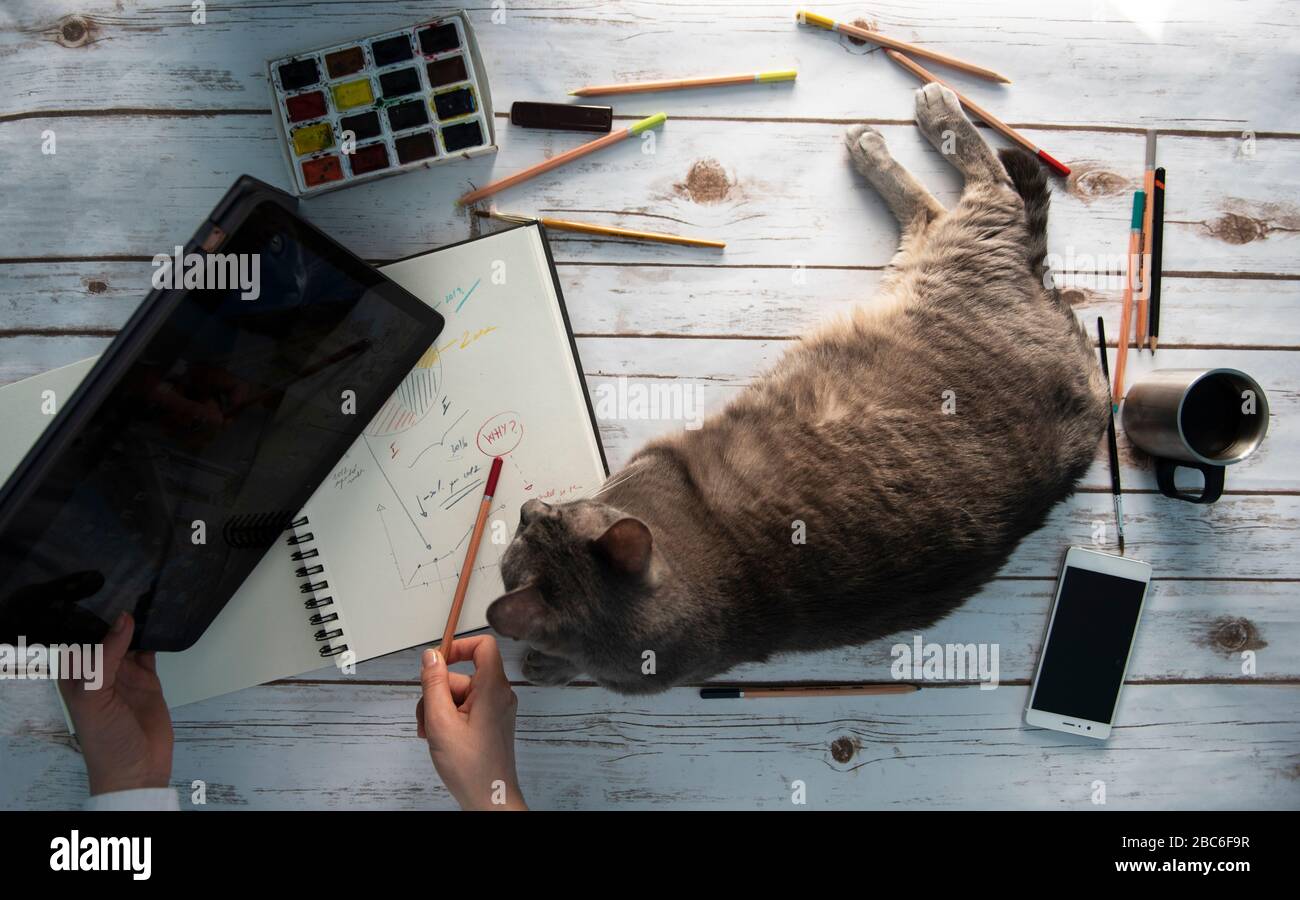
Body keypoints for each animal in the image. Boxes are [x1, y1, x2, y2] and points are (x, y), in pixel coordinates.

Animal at [488, 84, 1107, 691]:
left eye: (546, 520)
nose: (529, 505)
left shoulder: (644, 465)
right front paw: (551, 666)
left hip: (960, 251)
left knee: (990, 184)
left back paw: (913, 120)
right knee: (929, 212)